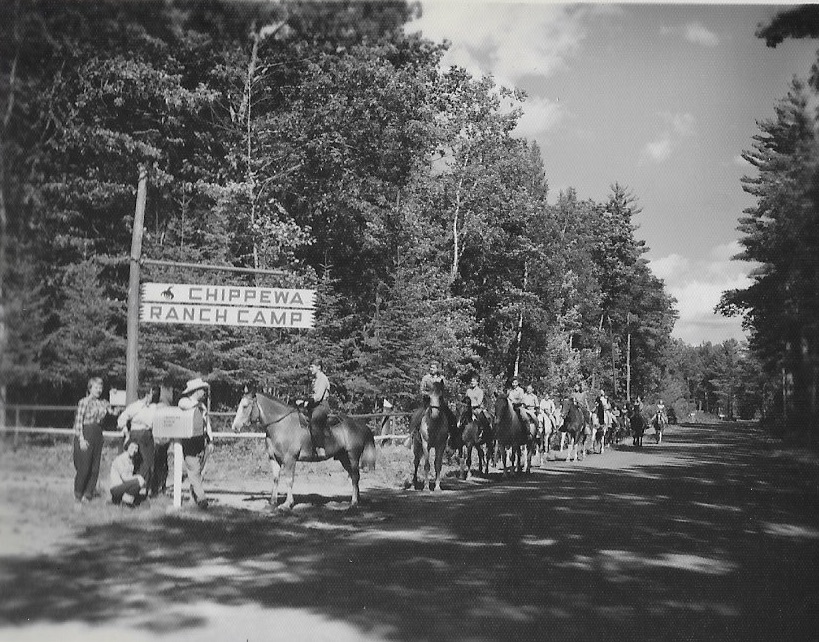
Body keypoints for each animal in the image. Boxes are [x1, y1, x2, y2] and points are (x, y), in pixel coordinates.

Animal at [227, 388, 374, 508]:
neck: (281, 425)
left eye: (245, 406)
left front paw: (287, 504)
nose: (235, 427)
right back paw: (357, 500)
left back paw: (353, 502)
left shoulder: (290, 459)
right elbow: (276, 479)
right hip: (344, 458)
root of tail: (361, 425)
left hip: (352, 456)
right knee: (354, 477)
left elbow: (289, 480)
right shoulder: (273, 459)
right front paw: (273, 502)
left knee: (355, 477)